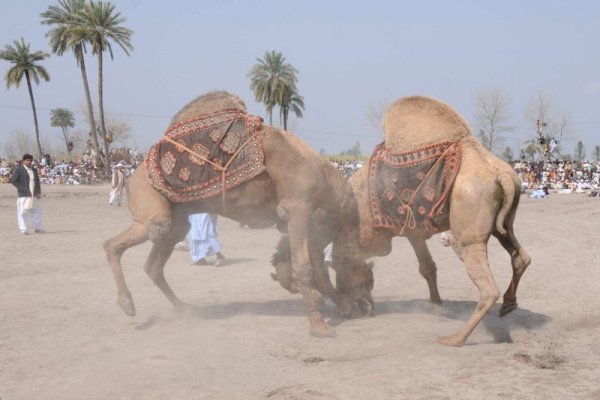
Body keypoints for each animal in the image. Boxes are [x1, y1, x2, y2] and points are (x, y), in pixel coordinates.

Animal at [102, 90, 360, 338]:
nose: (363, 301)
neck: (321, 173)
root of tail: (134, 172)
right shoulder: (298, 207)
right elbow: (304, 267)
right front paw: (319, 326)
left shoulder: (310, 221)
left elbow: (320, 269)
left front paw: (342, 305)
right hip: (150, 202)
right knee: (119, 242)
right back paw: (127, 304)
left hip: (177, 221)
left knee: (152, 265)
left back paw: (185, 309)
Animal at [270, 95, 528, 346]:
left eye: (296, 283)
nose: (352, 309)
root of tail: (502, 175)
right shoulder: (414, 231)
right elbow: (429, 267)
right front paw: (436, 305)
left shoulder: (409, 229)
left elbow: (425, 267)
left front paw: (435, 305)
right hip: (503, 224)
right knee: (520, 257)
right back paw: (508, 305)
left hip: (469, 233)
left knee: (487, 287)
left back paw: (455, 339)